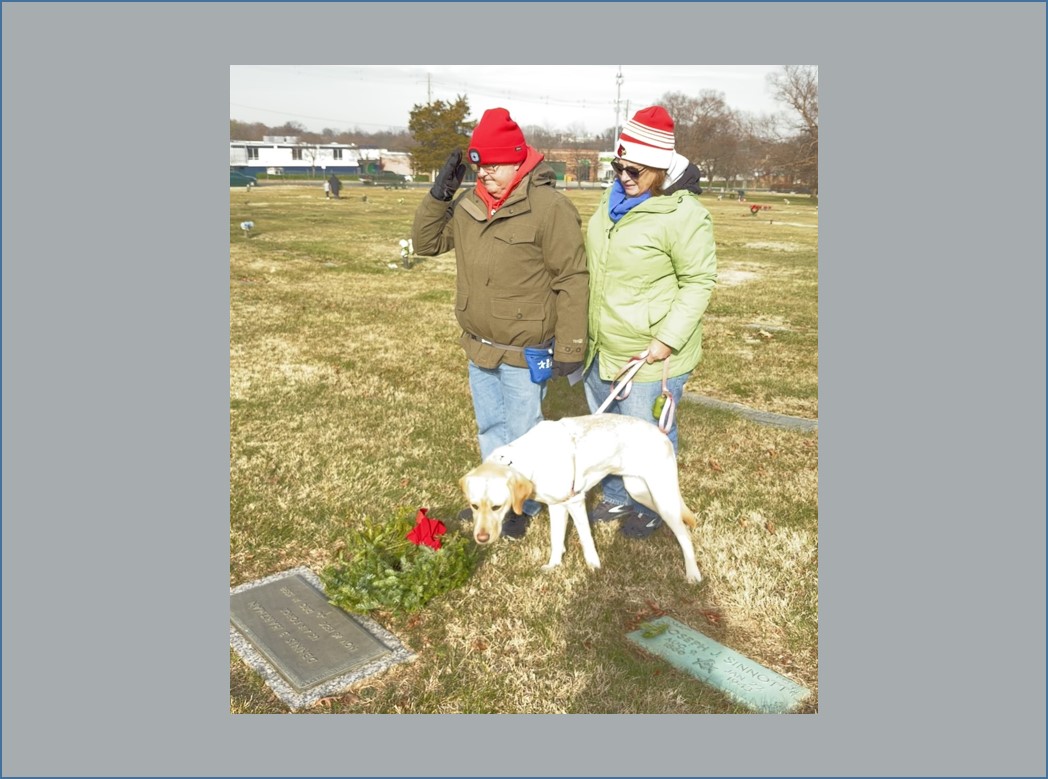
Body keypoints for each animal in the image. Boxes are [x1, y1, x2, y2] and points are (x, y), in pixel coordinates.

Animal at [459, 414, 702, 583]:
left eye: (497, 507)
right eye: (474, 506)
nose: (481, 538)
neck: (529, 458)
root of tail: (663, 434)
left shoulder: (575, 502)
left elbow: (586, 539)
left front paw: (594, 567)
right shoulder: (557, 505)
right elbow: (556, 540)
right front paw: (554, 565)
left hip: (661, 495)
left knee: (684, 533)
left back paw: (693, 573)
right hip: (638, 490)